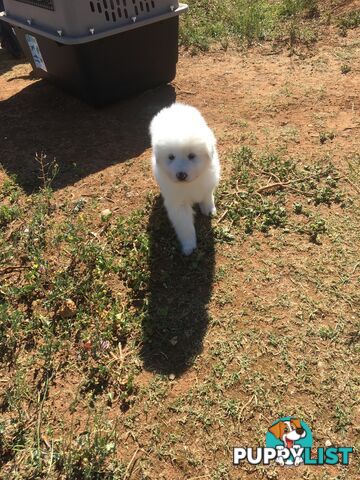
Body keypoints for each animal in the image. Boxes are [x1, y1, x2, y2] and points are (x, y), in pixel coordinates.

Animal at [149, 103, 219, 256]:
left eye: (191, 156)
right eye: (171, 157)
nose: (181, 175)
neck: (190, 184)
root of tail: (175, 106)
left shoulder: (208, 183)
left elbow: (207, 196)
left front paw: (209, 209)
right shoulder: (178, 204)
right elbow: (185, 227)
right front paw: (189, 246)